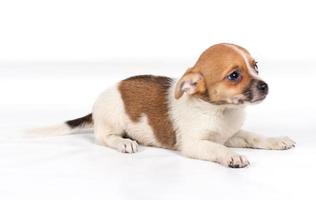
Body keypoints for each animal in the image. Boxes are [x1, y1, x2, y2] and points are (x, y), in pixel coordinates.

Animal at [35, 43, 296, 167]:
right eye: (234, 75)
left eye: (256, 66)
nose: (265, 86)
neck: (219, 110)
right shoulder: (195, 144)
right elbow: (217, 149)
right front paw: (232, 157)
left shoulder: (231, 135)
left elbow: (254, 136)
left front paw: (276, 140)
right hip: (113, 121)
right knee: (105, 138)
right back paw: (124, 142)